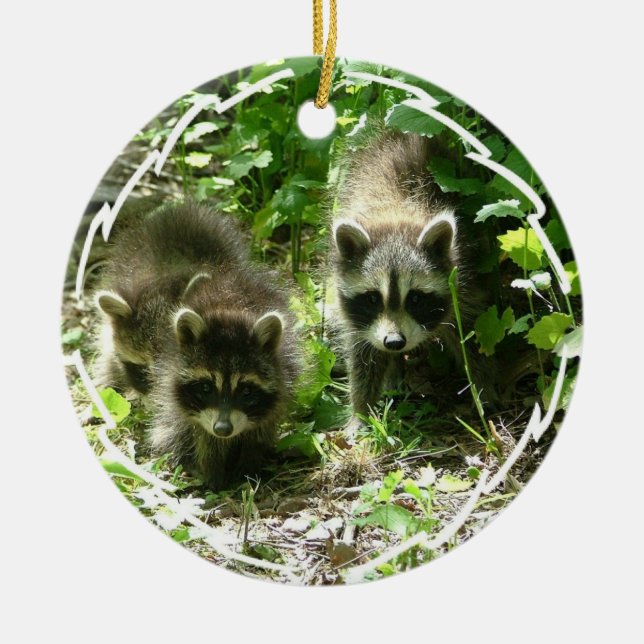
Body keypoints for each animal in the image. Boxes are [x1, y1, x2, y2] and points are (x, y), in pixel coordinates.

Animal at [329, 130, 481, 423]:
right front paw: (361, 413)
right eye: (373, 299)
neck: (395, 213)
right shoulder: (358, 317)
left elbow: (471, 333)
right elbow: (363, 356)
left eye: (415, 299)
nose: (395, 342)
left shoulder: (462, 281)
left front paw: (487, 386)